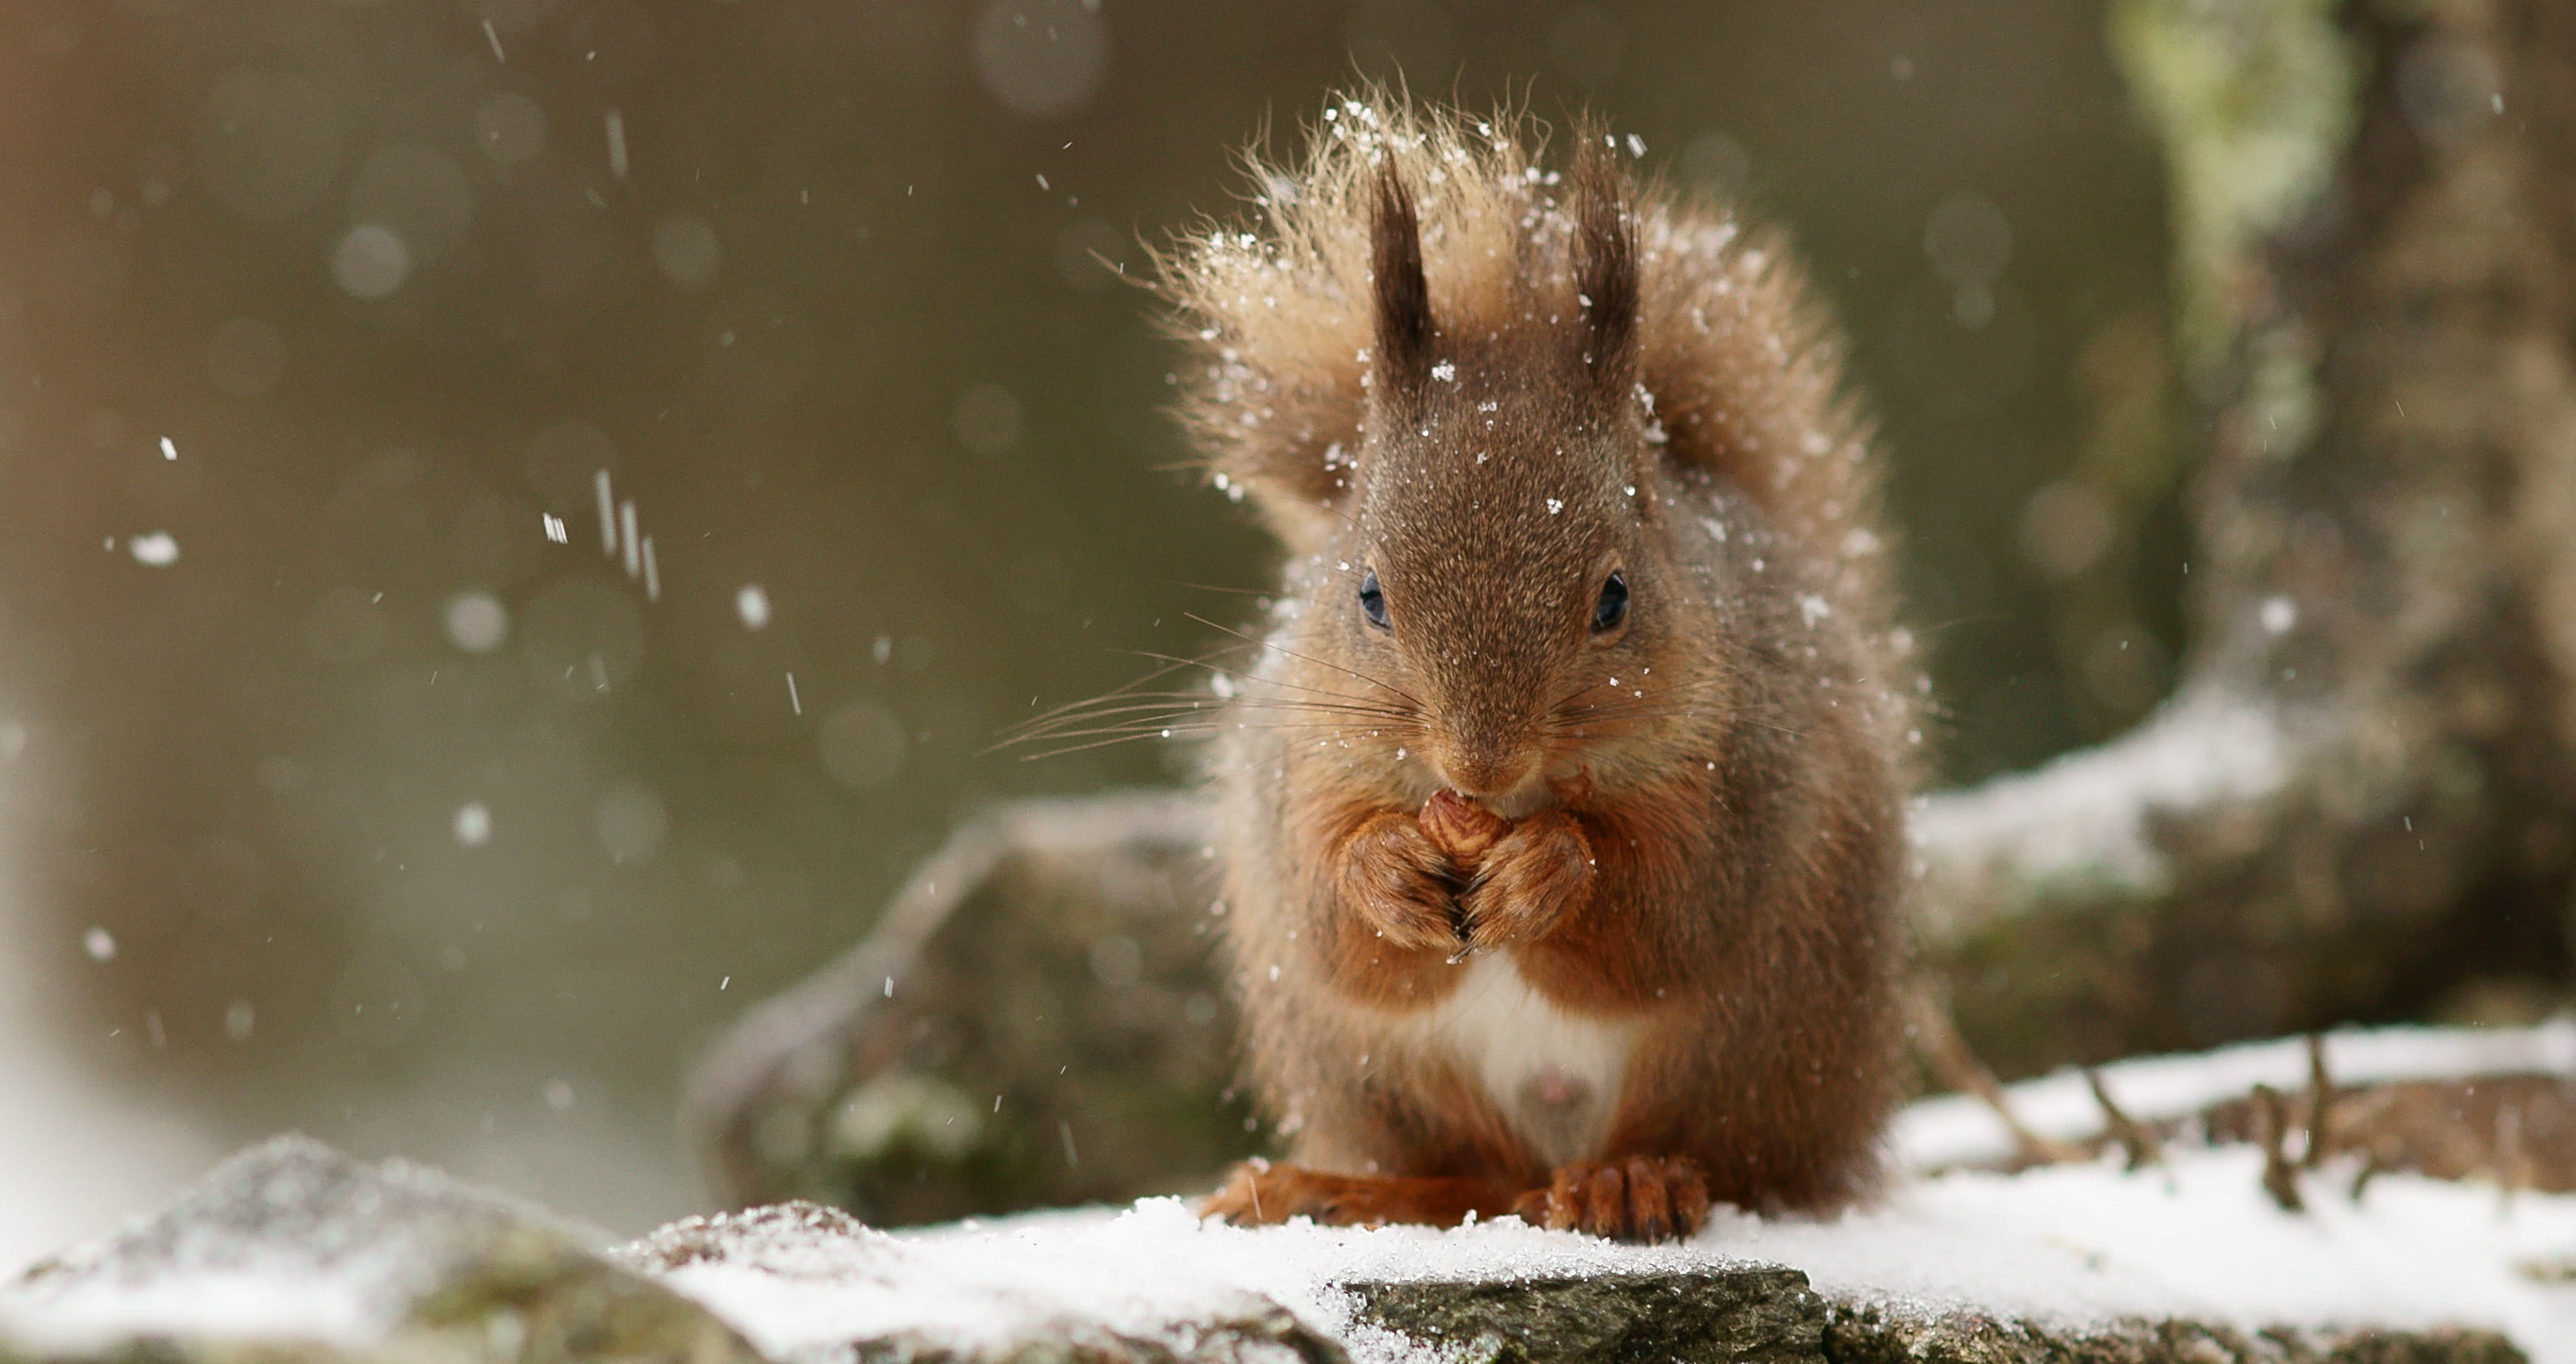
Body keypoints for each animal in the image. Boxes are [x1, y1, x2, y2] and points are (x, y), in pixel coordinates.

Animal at [1157, 93, 1915, 1243]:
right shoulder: (1301, 770)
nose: (1479, 764)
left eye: (1614, 597)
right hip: (1376, 1071)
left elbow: (1670, 910)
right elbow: (1327, 911)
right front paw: (1381, 870)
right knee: (1468, 1172)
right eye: (1367, 593)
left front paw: (1554, 866)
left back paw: (1629, 1180)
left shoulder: (1748, 770)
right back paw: (1337, 1188)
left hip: (1759, 1043)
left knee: (1729, 1158)